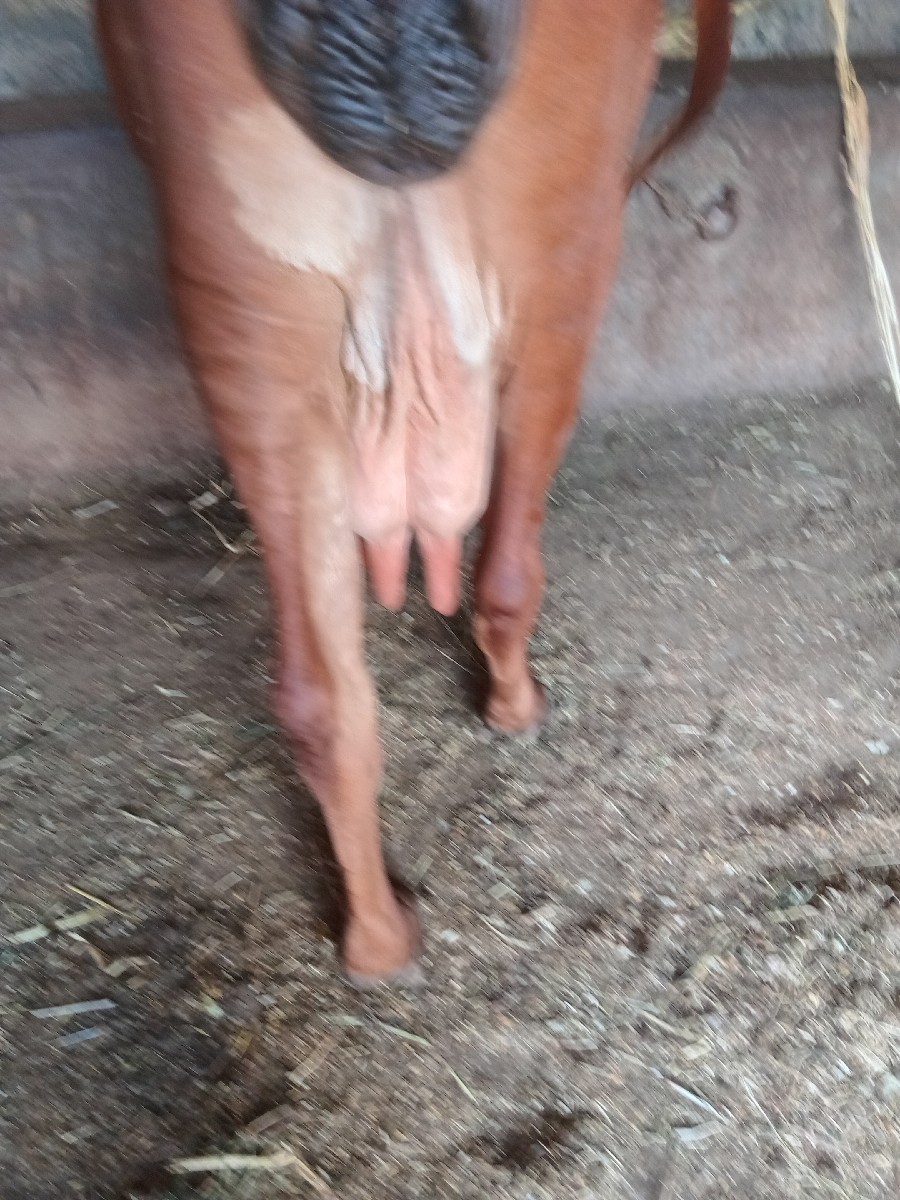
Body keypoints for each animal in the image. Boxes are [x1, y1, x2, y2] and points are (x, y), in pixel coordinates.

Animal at [94, 0, 731, 986]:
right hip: (566, 258)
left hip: (247, 312)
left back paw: (377, 941)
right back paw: (514, 707)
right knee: (510, 554)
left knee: (321, 698)